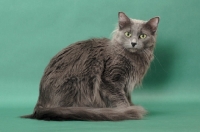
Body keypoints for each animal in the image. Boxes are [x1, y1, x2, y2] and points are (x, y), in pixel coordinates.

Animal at [21, 11, 159, 120]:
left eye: (142, 36)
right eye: (128, 34)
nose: (134, 43)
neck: (133, 58)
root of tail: (40, 102)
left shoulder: (125, 84)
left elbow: (127, 97)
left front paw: (130, 106)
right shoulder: (110, 80)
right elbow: (120, 98)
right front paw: (126, 110)